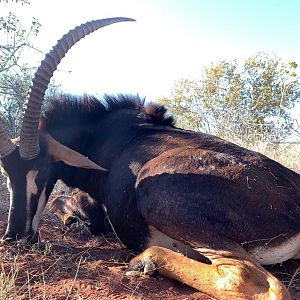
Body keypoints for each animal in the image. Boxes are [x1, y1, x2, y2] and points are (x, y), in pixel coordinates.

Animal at [0, 17, 300, 298]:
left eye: (42, 170)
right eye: (6, 174)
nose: (15, 237)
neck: (100, 134)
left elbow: (60, 202)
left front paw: (75, 223)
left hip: (152, 184)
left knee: (249, 278)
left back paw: (145, 261)